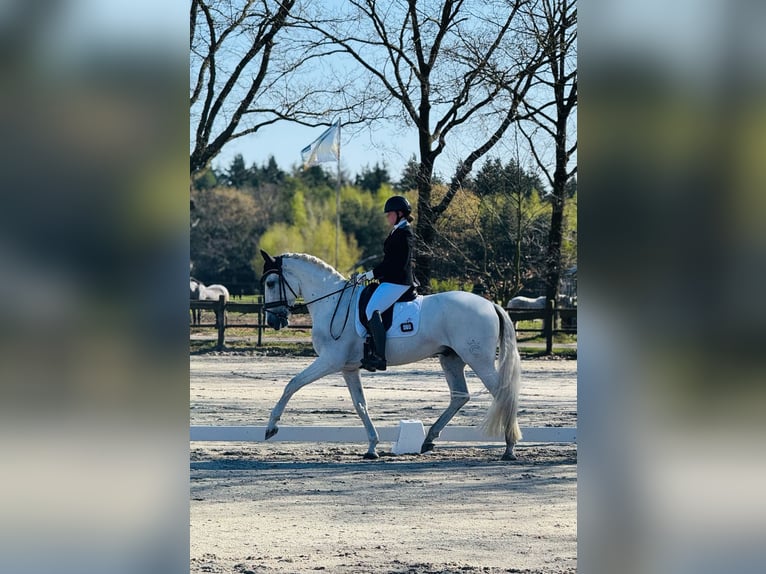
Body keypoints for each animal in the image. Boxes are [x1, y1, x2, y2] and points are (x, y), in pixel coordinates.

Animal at [259, 251, 522, 461]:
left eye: (271, 283)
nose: (273, 321)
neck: (333, 303)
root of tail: (491, 305)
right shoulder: (348, 368)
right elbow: (360, 404)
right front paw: (372, 447)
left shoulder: (330, 361)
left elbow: (292, 384)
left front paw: (271, 428)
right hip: (451, 358)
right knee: (460, 396)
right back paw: (429, 439)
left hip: (478, 359)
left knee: (503, 394)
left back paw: (509, 448)